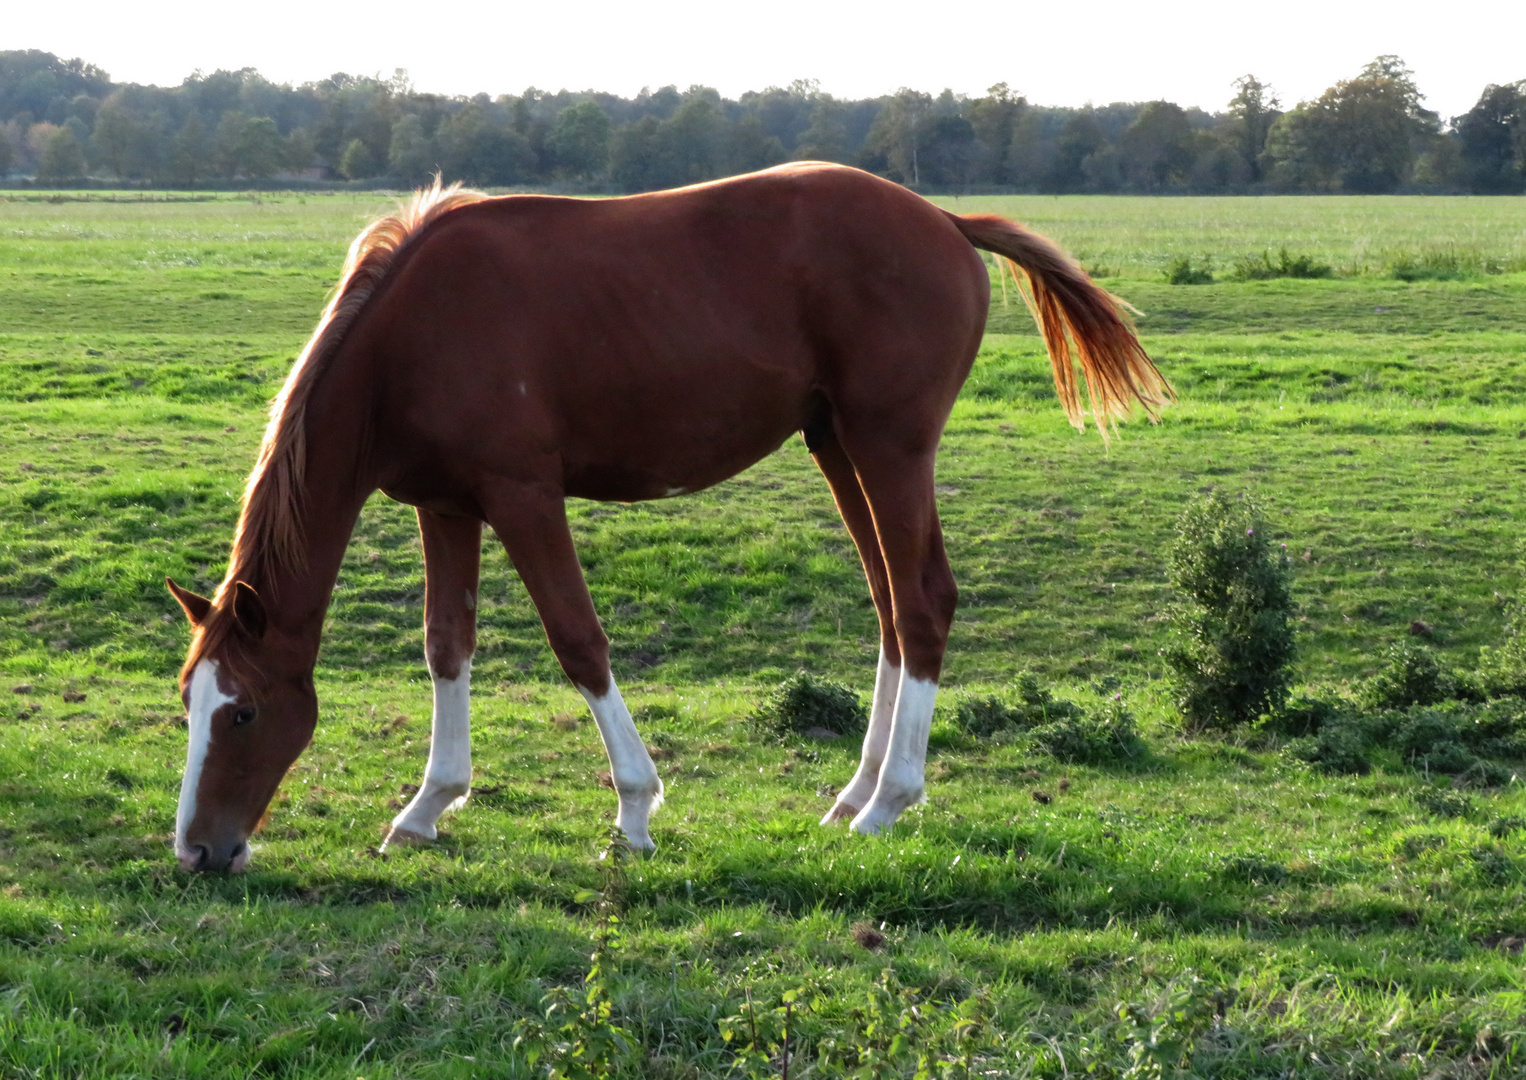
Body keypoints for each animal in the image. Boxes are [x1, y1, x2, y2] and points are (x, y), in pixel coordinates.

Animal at [164, 162, 1165, 866]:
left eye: (242, 713)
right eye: (188, 704)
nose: (199, 851)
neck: (412, 332)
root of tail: (947, 222)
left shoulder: (523, 497)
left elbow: (579, 642)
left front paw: (635, 811)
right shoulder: (446, 507)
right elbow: (446, 645)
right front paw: (427, 807)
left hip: (891, 448)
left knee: (921, 604)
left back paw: (887, 804)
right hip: (839, 447)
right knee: (890, 604)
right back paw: (854, 792)